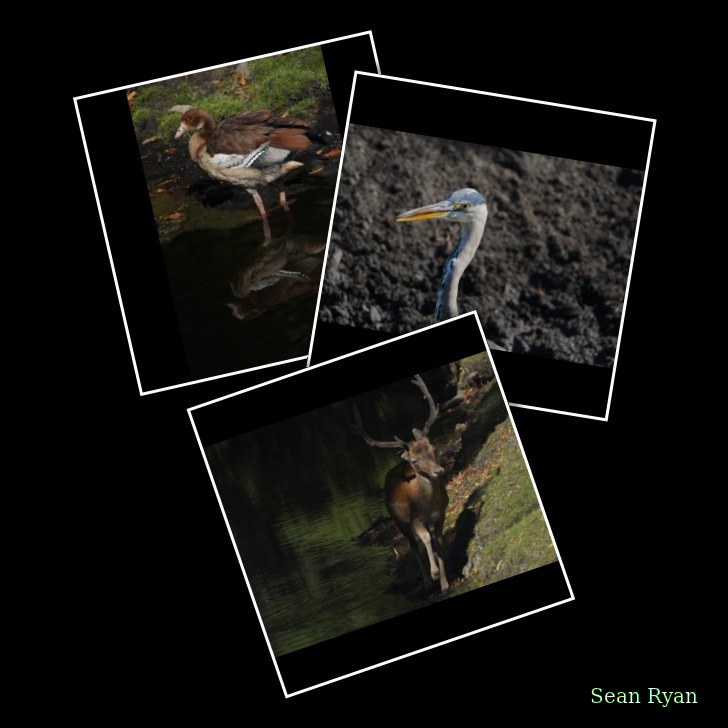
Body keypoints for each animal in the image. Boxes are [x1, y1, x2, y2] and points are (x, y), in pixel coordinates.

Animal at [353, 375, 450, 593]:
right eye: (414, 461)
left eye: (433, 447)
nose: (438, 471)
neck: (428, 504)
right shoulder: (415, 519)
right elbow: (426, 539)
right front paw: (434, 574)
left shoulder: (441, 513)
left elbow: (439, 541)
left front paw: (445, 583)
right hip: (398, 520)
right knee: (413, 545)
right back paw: (426, 582)